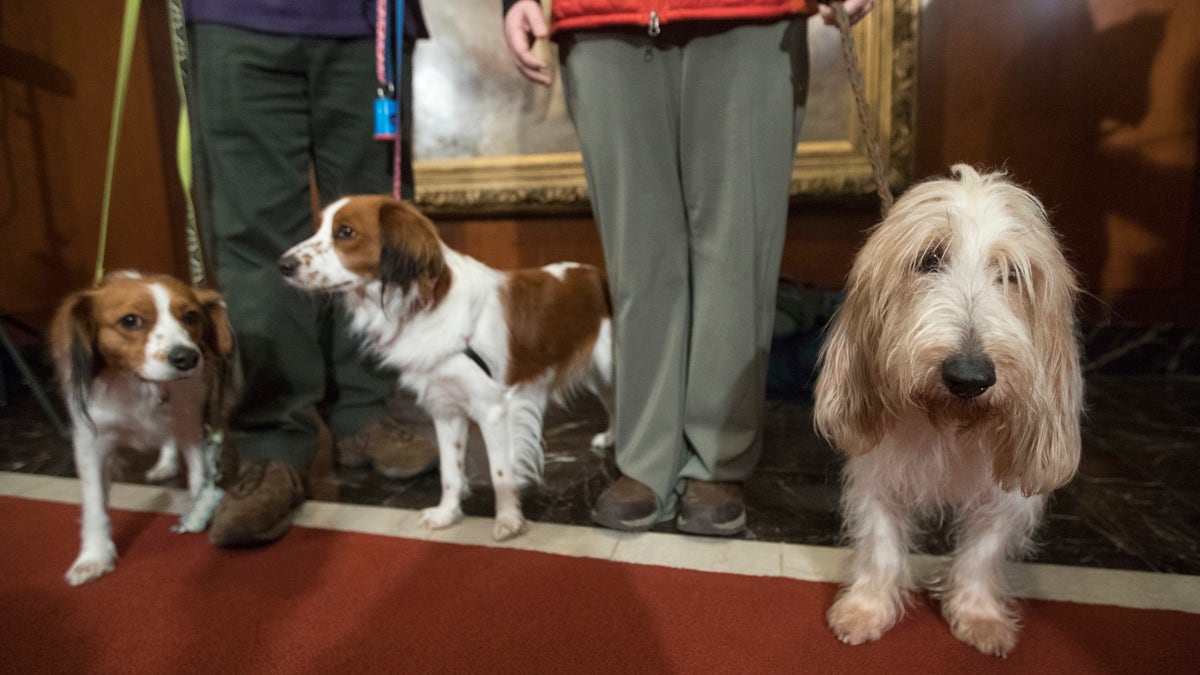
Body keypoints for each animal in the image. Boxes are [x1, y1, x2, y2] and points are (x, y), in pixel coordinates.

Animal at [50, 269, 237, 583]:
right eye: (130, 320)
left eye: (190, 316)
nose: (187, 358)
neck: (140, 385)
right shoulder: (91, 443)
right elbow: (94, 503)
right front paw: (94, 556)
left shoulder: (190, 421)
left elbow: (198, 474)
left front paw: (199, 512)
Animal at [280, 193, 614, 535]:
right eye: (319, 227)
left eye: (345, 232)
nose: (284, 264)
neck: (426, 305)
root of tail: (597, 275)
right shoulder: (445, 408)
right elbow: (450, 472)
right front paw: (447, 514)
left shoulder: (492, 409)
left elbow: (500, 472)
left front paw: (508, 519)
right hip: (599, 377)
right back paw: (611, 438)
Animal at [811, 163, 1084, 653]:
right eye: (928, 260)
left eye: (1012, 275)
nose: (969, 377)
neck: (952, 423)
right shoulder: (878, 475)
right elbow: (880, 545)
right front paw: (866, 609)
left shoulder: (1004, 500)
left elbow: (982, 553)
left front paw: (980, 615)